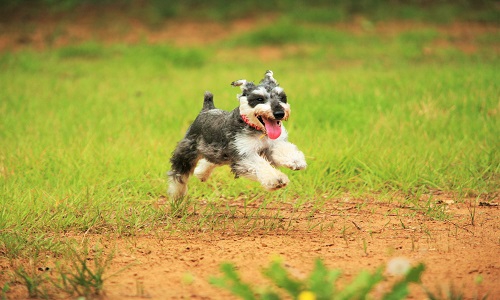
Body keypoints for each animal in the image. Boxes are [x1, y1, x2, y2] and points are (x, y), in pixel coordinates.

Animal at [168, 70, 306, 200]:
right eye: (259, 99)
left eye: (282, 97)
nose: (279, 113)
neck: (257, 129)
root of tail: (207, 109)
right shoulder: (244, 154)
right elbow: (260, 164)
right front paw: (276, 179)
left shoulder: (271, 146)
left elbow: (283, 149)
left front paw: (295, 160)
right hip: (187, 151)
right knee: (178, 174)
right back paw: (176, 195)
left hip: (216, 152)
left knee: (209, 161)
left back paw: (201, 173)